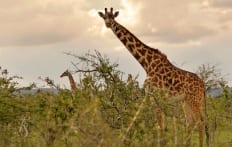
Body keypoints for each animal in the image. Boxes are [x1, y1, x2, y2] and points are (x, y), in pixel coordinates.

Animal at [99, 7, 206, 146]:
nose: (108, 24)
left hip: (195, 101)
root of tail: (204, 86)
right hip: (186, 102)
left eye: (112, 17)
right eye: (104, 17)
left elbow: (159, 126)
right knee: (190, 123)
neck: (147, 64)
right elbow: (141, 118)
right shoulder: (149, 95)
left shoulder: (156, 96)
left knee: (200, 123)